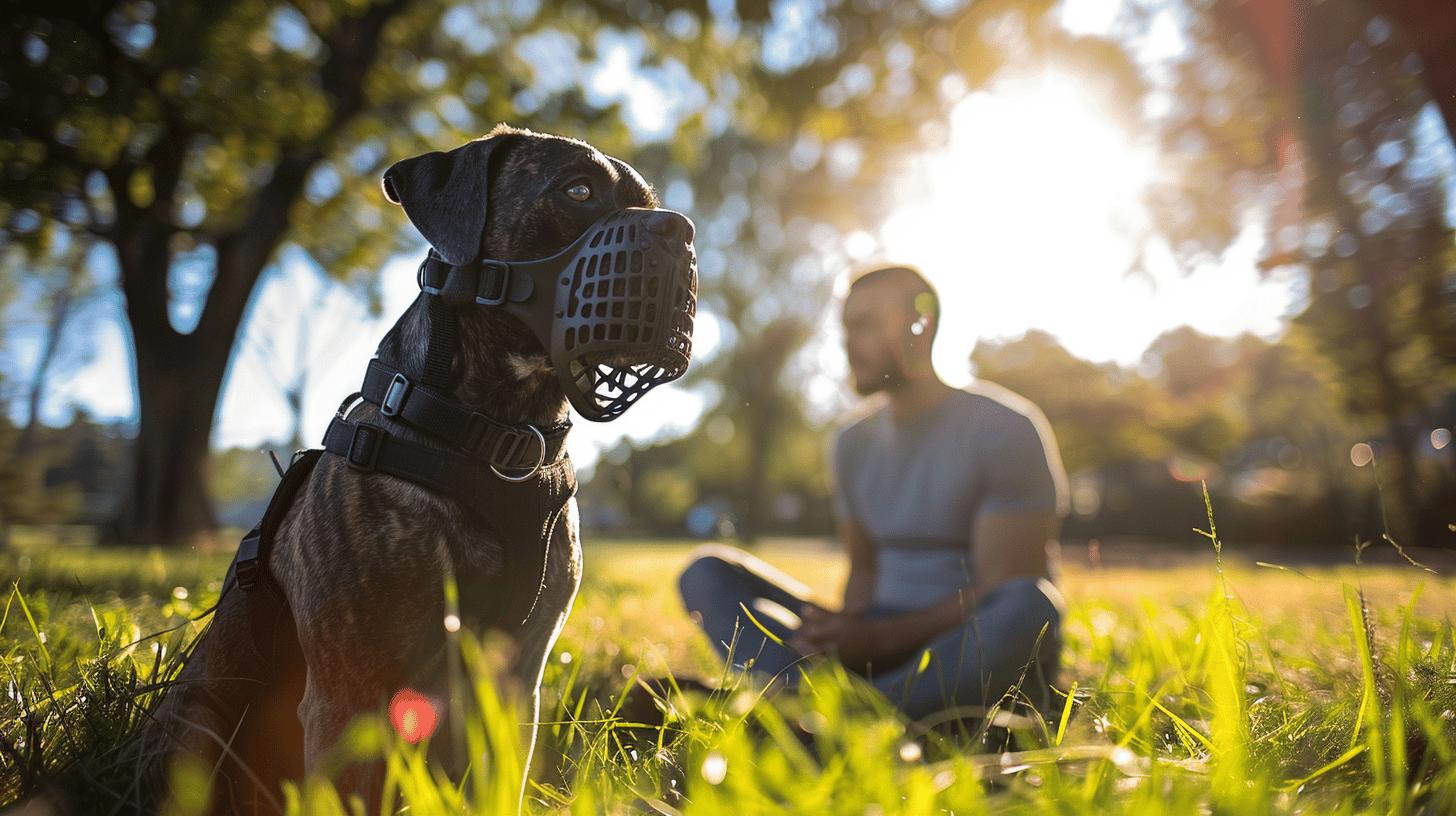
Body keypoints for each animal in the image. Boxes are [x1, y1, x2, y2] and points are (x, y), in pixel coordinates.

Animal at [126, 124, 693, 810]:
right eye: (578, 190)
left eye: (649, 200)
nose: (682, 228)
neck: (500, 438)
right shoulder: (349, 697)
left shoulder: (517, 687)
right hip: (197, 723)